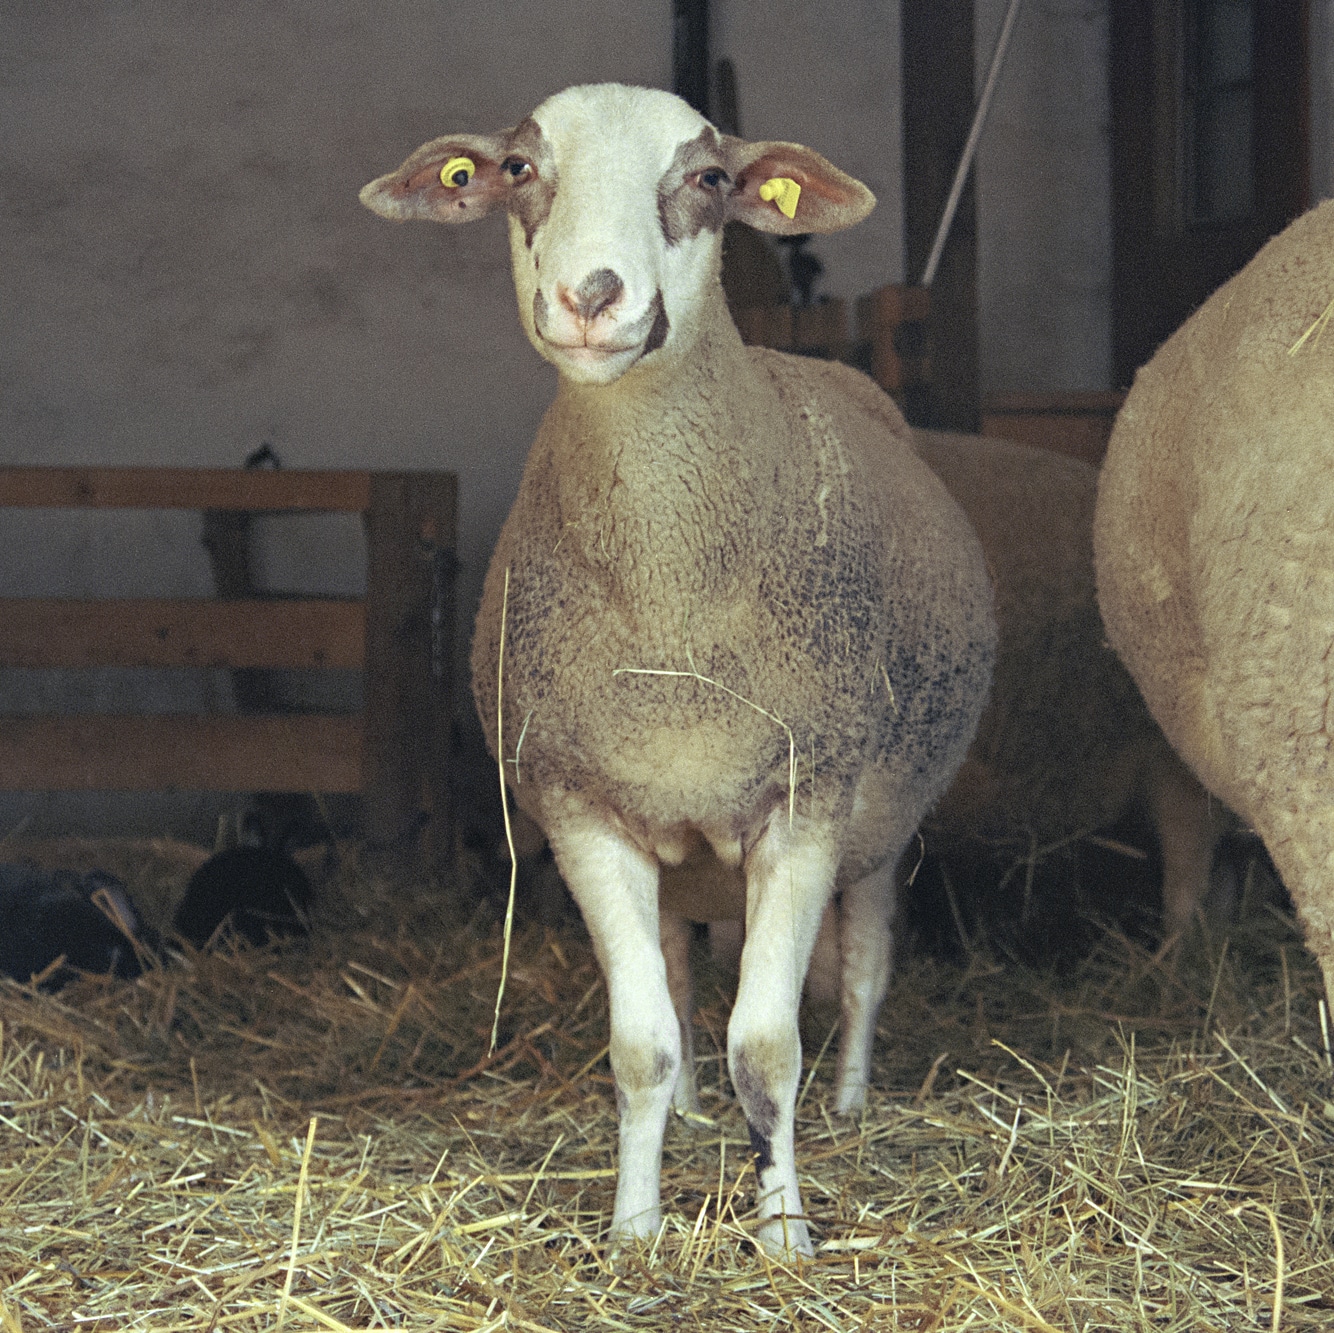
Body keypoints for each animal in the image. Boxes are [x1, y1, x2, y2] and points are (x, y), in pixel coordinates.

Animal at [360, 82, 996, 1258]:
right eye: (517, 170)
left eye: (706, 179)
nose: (589, 294)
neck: (670, 604)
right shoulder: (582, 813)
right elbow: (642, 1042)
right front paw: (635, 1226)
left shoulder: (803, 803)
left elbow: (770, 1045)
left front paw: (784, 1232)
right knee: (685, 979)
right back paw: (697, 1114)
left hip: (881, 830)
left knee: (863, 973)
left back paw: (851, 1101)